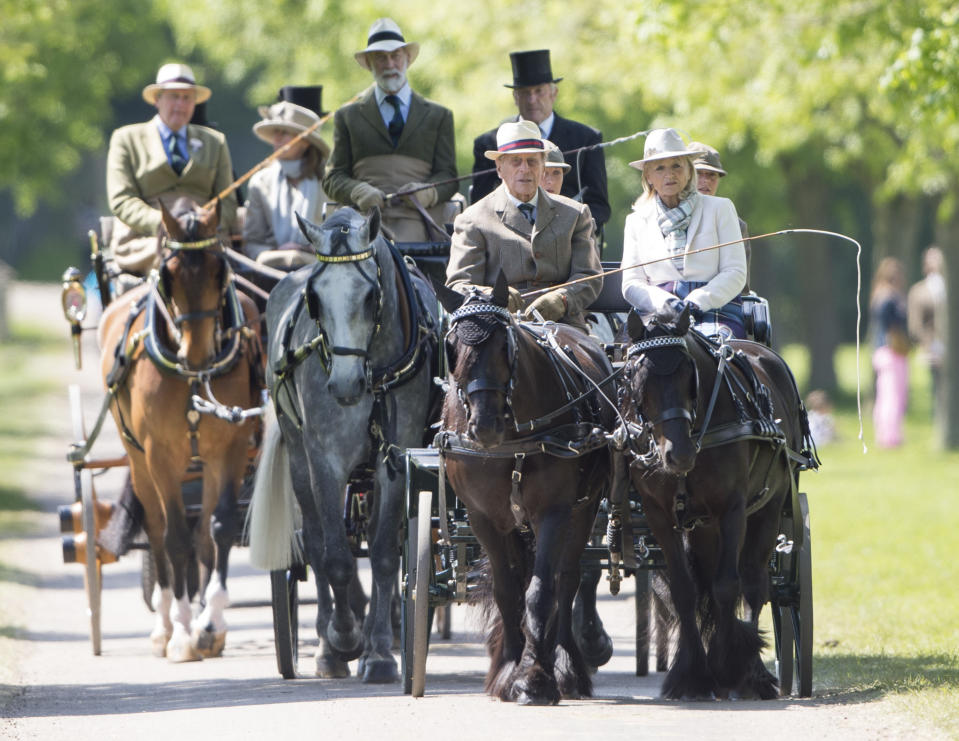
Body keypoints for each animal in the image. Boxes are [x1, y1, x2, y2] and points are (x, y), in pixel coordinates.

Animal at [98, 199, 262, 660]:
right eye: (168, 275)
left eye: (220, 269)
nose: (198, 352)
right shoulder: (159, 454)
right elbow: (174, 539)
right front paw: (183, 632)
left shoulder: (230, 446)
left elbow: (218, 528)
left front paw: (211, 623)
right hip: (138, 459)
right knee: (157, 529)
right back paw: (165, 623)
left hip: (201, 461)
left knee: (200, 535)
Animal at [251, 207, 438, 684]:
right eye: (315, 299)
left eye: (371, 296)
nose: (344, 385)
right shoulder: (325, 460)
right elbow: (334, 555)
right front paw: (343, 639)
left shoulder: (398, 457)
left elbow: (387, 553)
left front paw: (380, 653)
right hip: (298, 456)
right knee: (315, 543)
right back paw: (326, 644)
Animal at [436, 274, 616, 704]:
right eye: (452, 347)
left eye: (505, 345)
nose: (484, 425)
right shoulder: (482, 517)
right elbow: (507, 590)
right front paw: (508, 670)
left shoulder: (553, 511)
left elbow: (541, 591)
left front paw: (535, 677)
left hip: (584, 509)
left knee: (566, 579)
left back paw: (565, 666)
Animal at [616, 304, 816, 696]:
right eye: (636, 377)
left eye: (688, 375)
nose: (678, 454)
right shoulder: (660, 515)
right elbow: (685, 590)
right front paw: (692, 674)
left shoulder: (732, 509)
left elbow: (727, 586)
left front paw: (727, 668)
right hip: (702, 528)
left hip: (769, 507)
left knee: (756, 583)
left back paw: (753, 672)